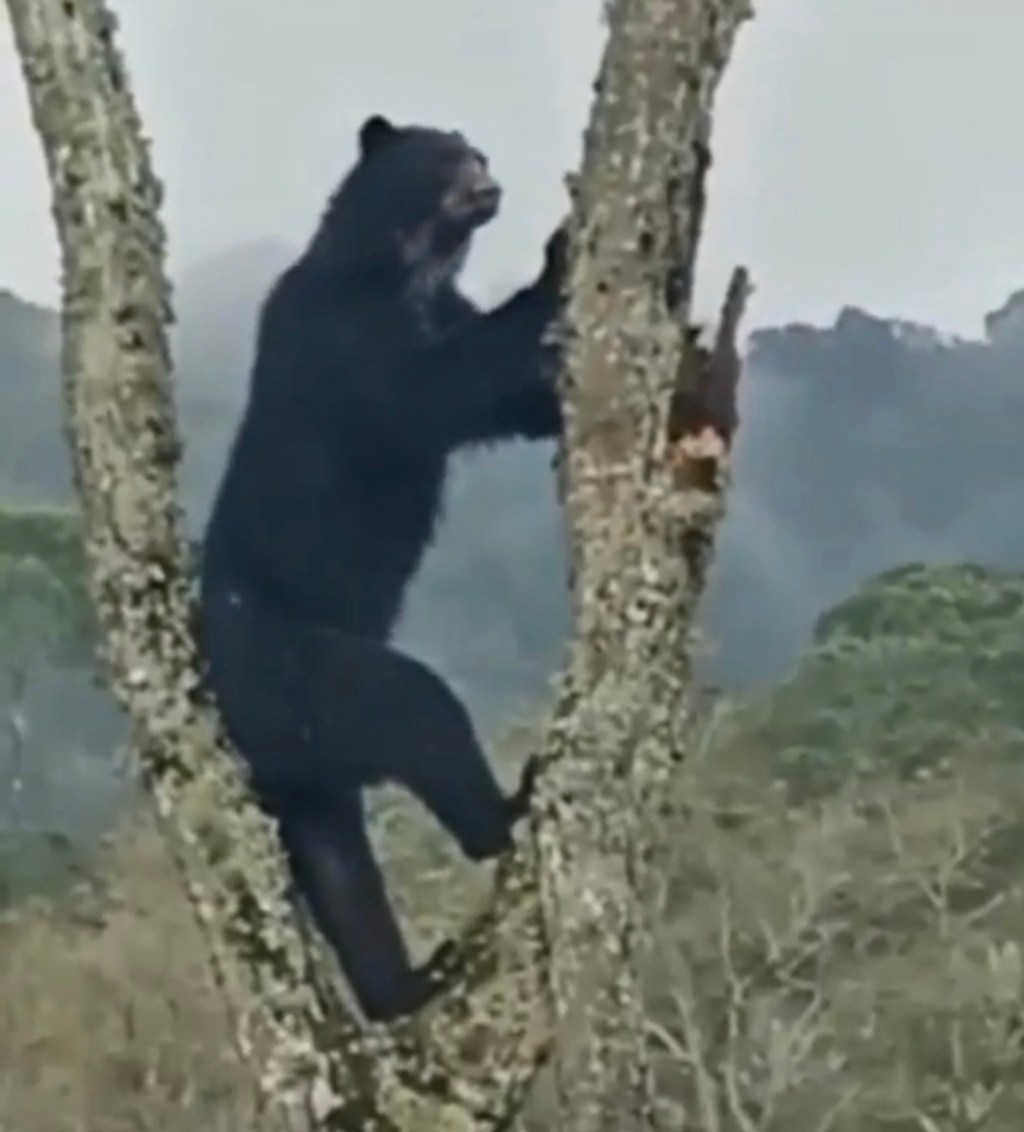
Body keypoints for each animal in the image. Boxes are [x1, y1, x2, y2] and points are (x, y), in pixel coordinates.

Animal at [198, 113, 567, 1021]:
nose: (491, 183)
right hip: (299, 669)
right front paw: (559, 255)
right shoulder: (343, 338)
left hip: (305, 771)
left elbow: (501, 400)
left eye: (480, 154)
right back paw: (505, 811)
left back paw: (400, 986)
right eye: (451, 156)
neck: (406, 260)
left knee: (337, 864)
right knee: (417, 710)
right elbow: (442, 383)